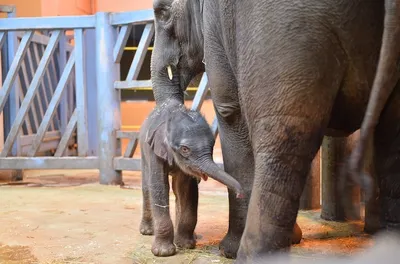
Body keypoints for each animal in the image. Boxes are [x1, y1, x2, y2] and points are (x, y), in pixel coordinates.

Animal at [138, 98, 244, 256]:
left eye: (212, 146)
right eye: (184, 149)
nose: (240, 194)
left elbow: (187, 189)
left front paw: (185, 245)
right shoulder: (154, 151)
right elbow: (159, 187)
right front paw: (163, 253)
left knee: (177, 192)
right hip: (143, 150)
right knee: (147, 188)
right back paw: (147, 231)